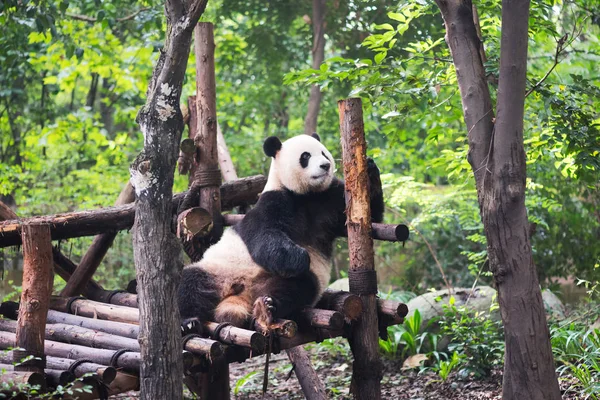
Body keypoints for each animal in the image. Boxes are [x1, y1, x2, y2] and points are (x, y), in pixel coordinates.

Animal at [178, 133, 384, 332]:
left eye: (324, 153)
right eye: (306, 156)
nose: (325, 166)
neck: (306, 195)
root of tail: (242, 295)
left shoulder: (329, 199)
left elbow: (369, 217)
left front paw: (370, 169)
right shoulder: (272, 202)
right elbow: (265, 238)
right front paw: (301, 257)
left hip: (276, 279)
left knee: (298, 286)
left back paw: (268, 306)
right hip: (219, 271)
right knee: (190, 282)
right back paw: (189, 322)